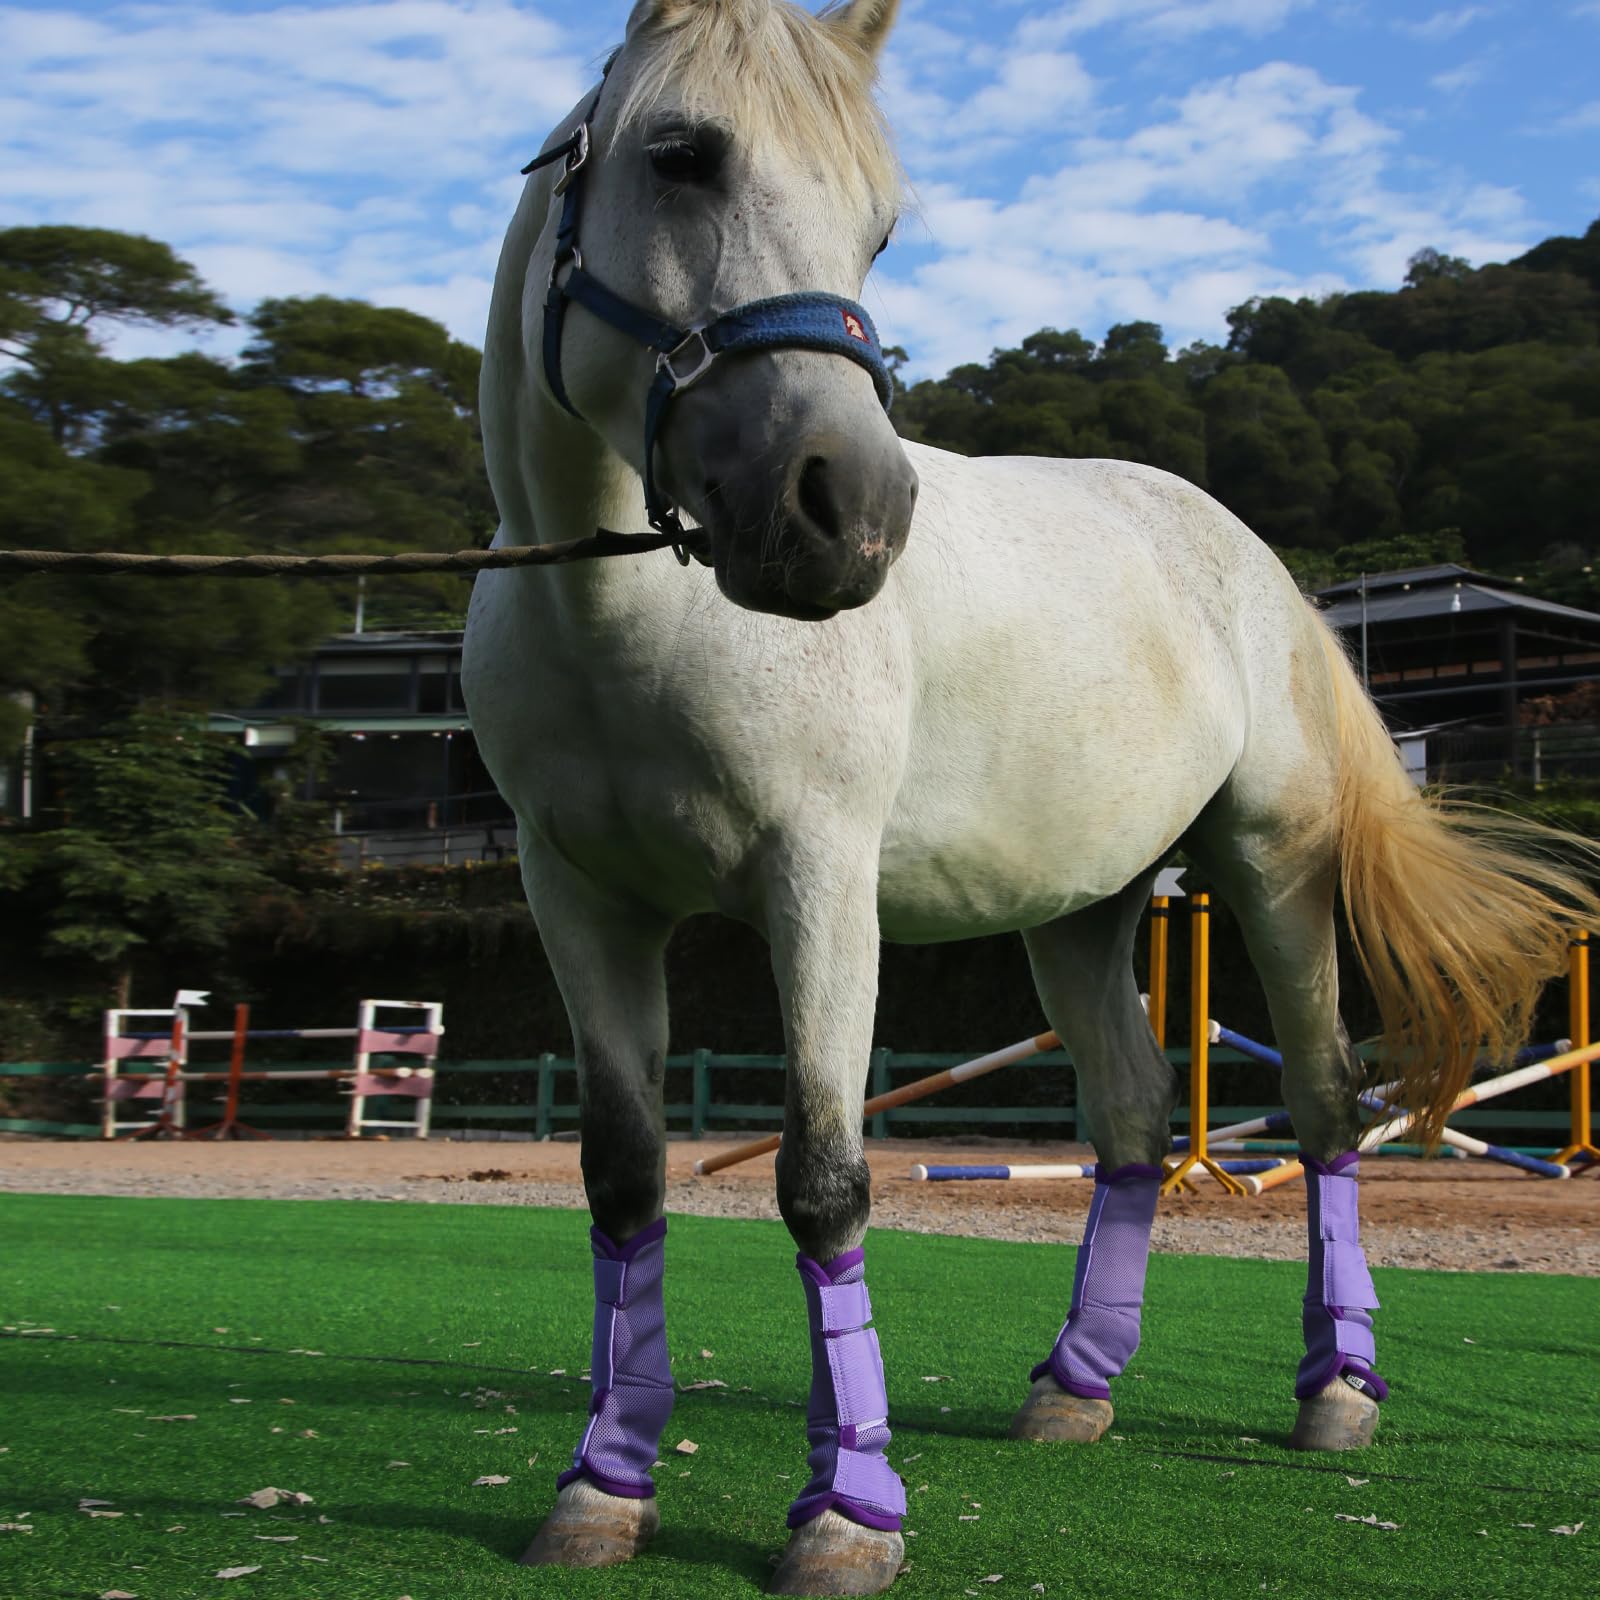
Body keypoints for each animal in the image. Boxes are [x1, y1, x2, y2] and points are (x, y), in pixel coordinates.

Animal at [461, 2, 1595, 1593]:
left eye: (878, 227)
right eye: (681, 154)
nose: (845, 511)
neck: (623, 617)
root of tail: (1249, 561)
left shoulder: (817, 883)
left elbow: (823, 1178)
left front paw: (847, 1514)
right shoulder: (578, 900)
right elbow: (624, 1177)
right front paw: (602, 1488)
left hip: (1272, 870)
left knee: (1322, 1103)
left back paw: (1335, 1393)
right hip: (1083, 911)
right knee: (1129, 1120)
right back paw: (1075, 1385)